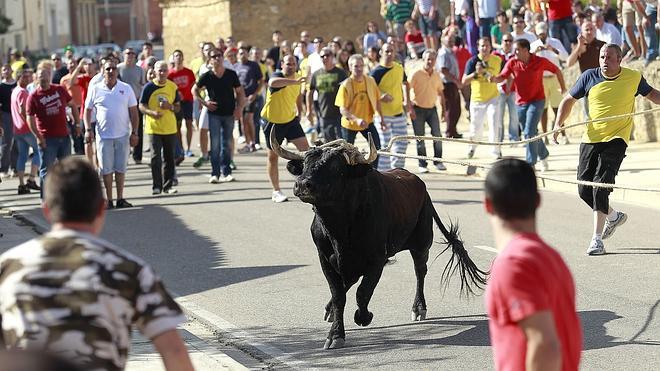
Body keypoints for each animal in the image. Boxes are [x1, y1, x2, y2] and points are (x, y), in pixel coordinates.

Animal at [270, 132, 490, 352]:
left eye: (335, 167)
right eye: (306, 163)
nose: (302, 184)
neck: (339, 228)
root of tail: (419, 184)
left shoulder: (376, 259)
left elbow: (362, 292)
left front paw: (363, 317)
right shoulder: (325, 258)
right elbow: (339, 294)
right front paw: (335, 334)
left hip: (421, 244)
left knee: (420, 272)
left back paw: (419, 308)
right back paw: (330, 309)